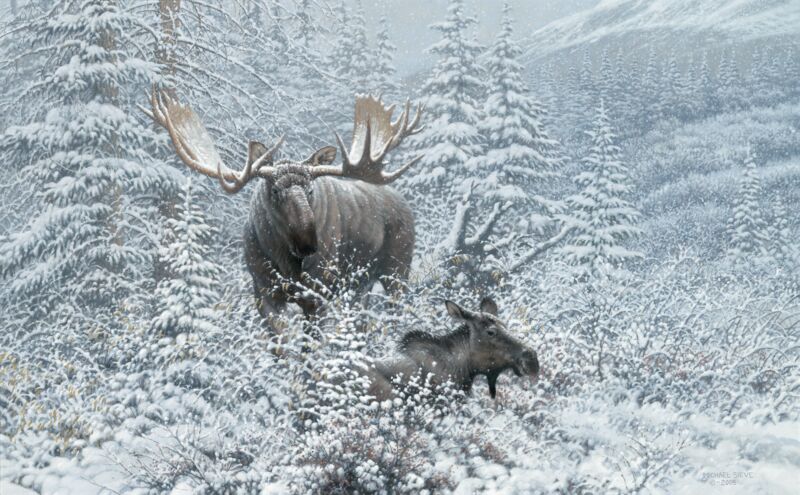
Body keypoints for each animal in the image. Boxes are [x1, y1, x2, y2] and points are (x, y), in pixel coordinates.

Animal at [144, 91, 422, 319]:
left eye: (310, 189)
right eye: (275, 190)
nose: (308, 243)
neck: (283, 261)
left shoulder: (317, 293)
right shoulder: (263, 292)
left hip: (397, 269)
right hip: (359, 286)